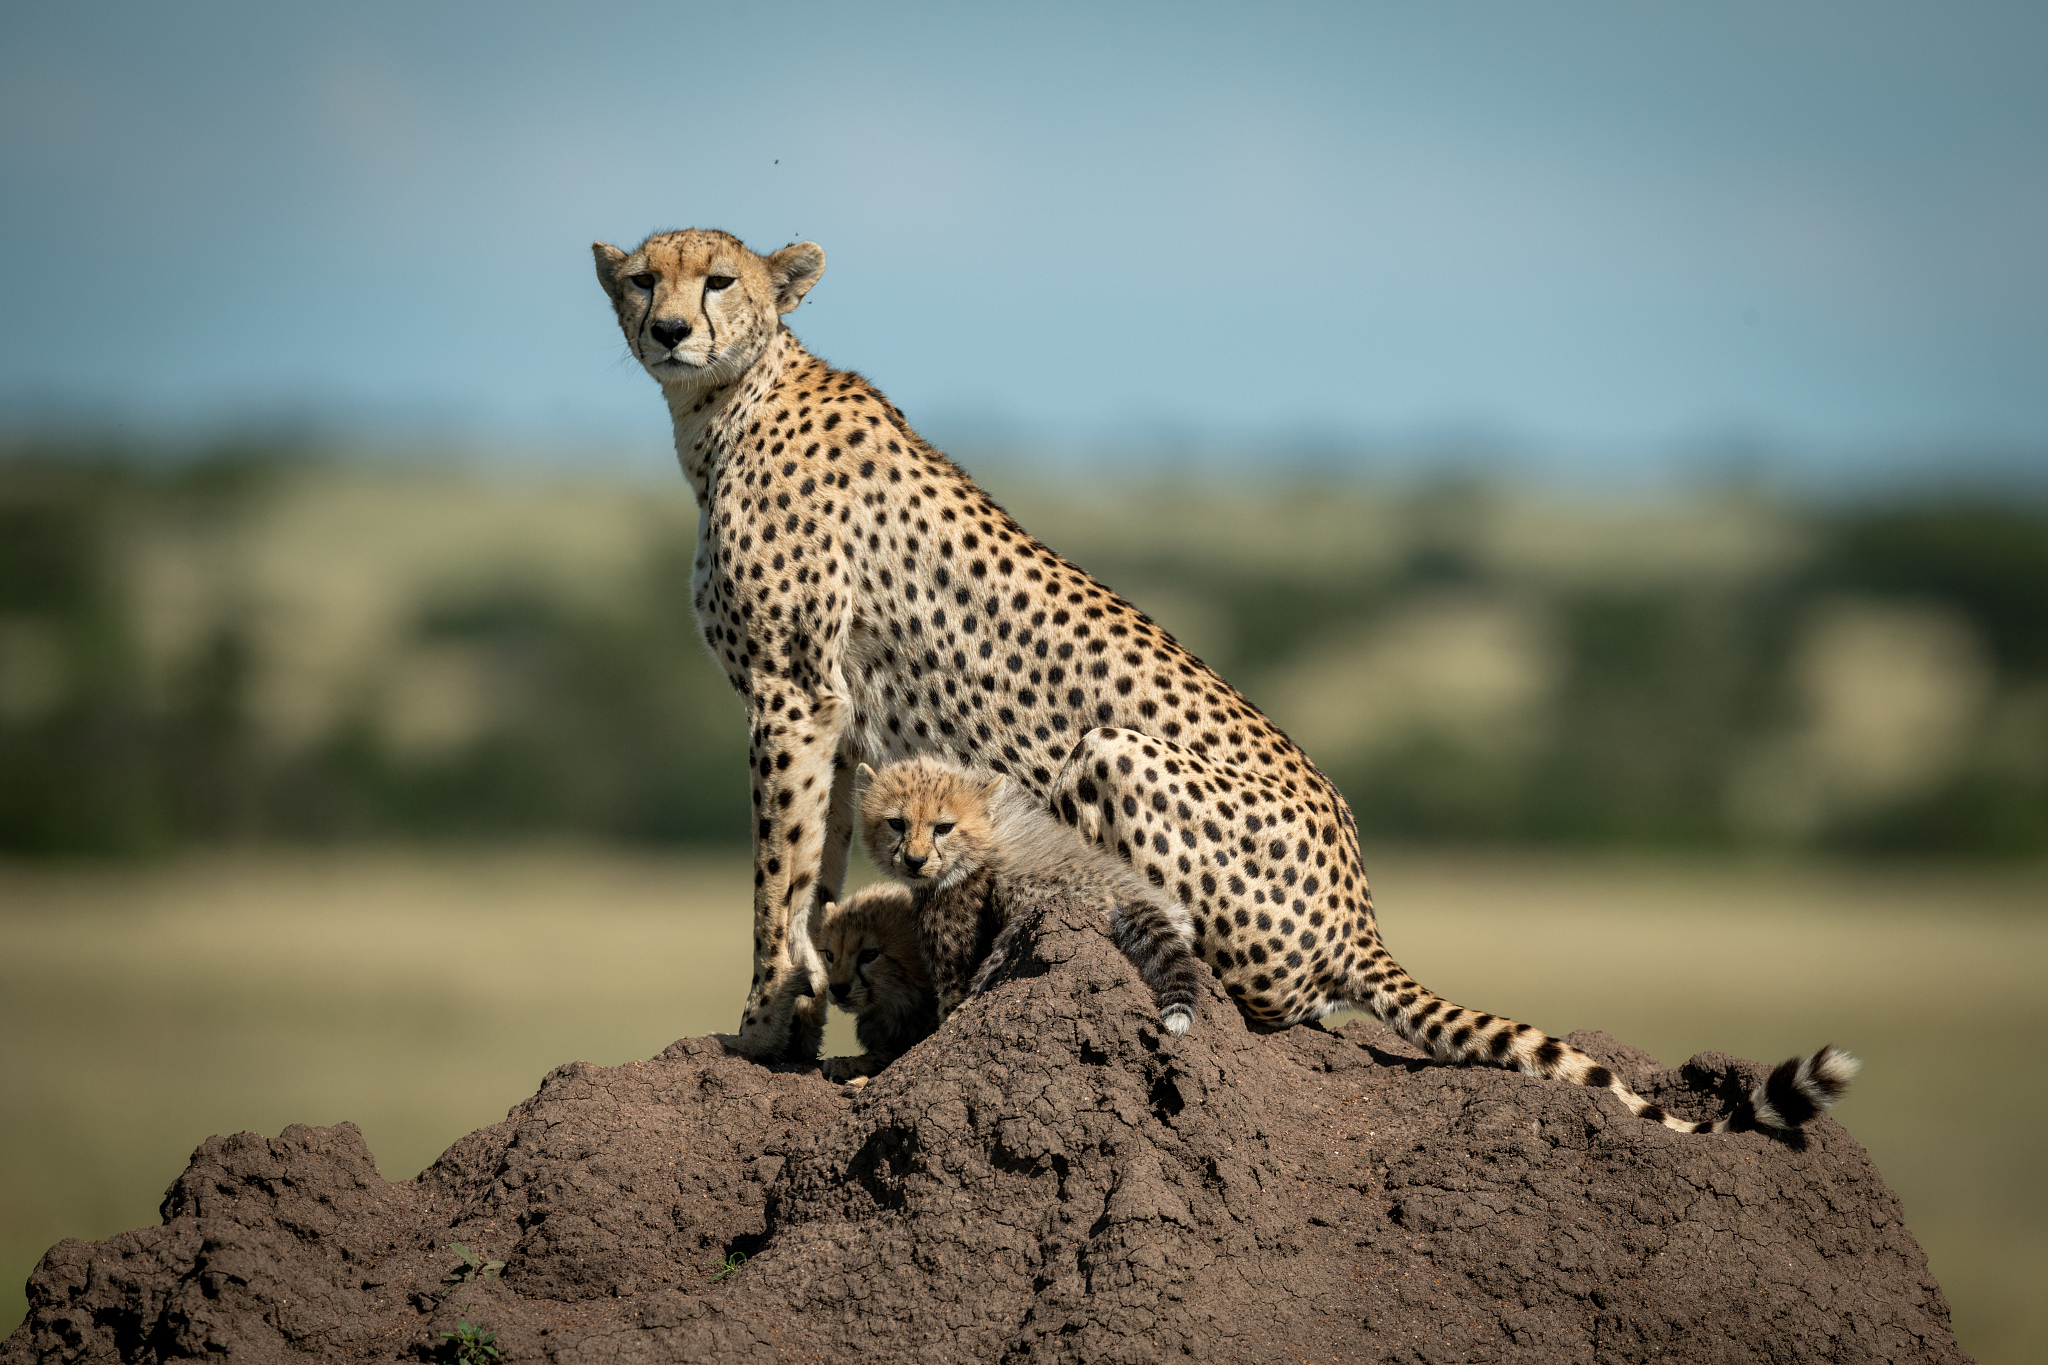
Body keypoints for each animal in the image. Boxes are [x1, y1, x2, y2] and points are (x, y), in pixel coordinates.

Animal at [853, 754, 1203, 1034]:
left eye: (943, 828)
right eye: (896, 823)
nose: (915, 861)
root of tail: (1147, 900)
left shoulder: (954, 969)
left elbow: (949, 1005)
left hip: (1032, 898)